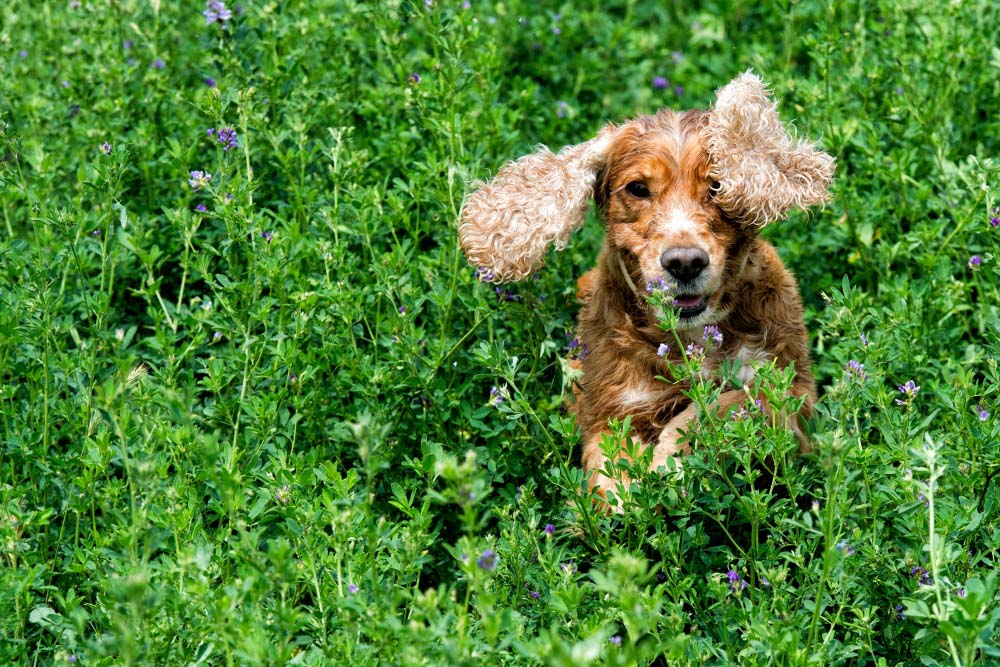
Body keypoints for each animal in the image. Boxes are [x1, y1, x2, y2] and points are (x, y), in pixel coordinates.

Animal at [458, 72, 832, 506]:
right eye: (637, 188)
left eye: (717, 185)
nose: (685, 262)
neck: (691, 338)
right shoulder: (613, 406)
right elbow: (609, 471)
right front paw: (627, 497)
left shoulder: (793, 390)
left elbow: (723, 405)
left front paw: (670, 458)